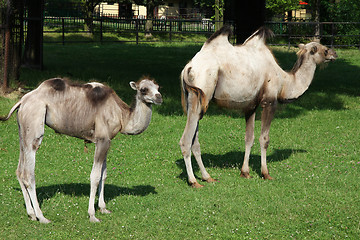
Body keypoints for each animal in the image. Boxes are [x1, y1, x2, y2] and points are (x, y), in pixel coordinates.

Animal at [0, 77, 162, 223]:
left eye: (157, 87)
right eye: (143, 89)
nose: (159, 97)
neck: (122, 115)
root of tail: (22, 101)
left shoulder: (107, 141)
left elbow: (104, 174)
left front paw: (103, 208)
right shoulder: (102, 139)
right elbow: (95, 177)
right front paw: (92, 215)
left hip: (23, 131)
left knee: (20, 171)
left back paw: (31, 214)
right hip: (34, 124)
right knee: (29, 173)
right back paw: (42, 217)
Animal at [180, 25, 338, 188]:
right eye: (325, 49)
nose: (335, 53)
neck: (284, 81)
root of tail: (188, 68)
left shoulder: (251, 106)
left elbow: (249, 138)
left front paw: (245, 172)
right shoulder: (269, 102)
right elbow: (264, 138)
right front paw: (265, 173)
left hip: (197, 101)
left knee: (195, 141)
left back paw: (207, 177)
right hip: (200, 92)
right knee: (186, 140)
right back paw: (193, 181)